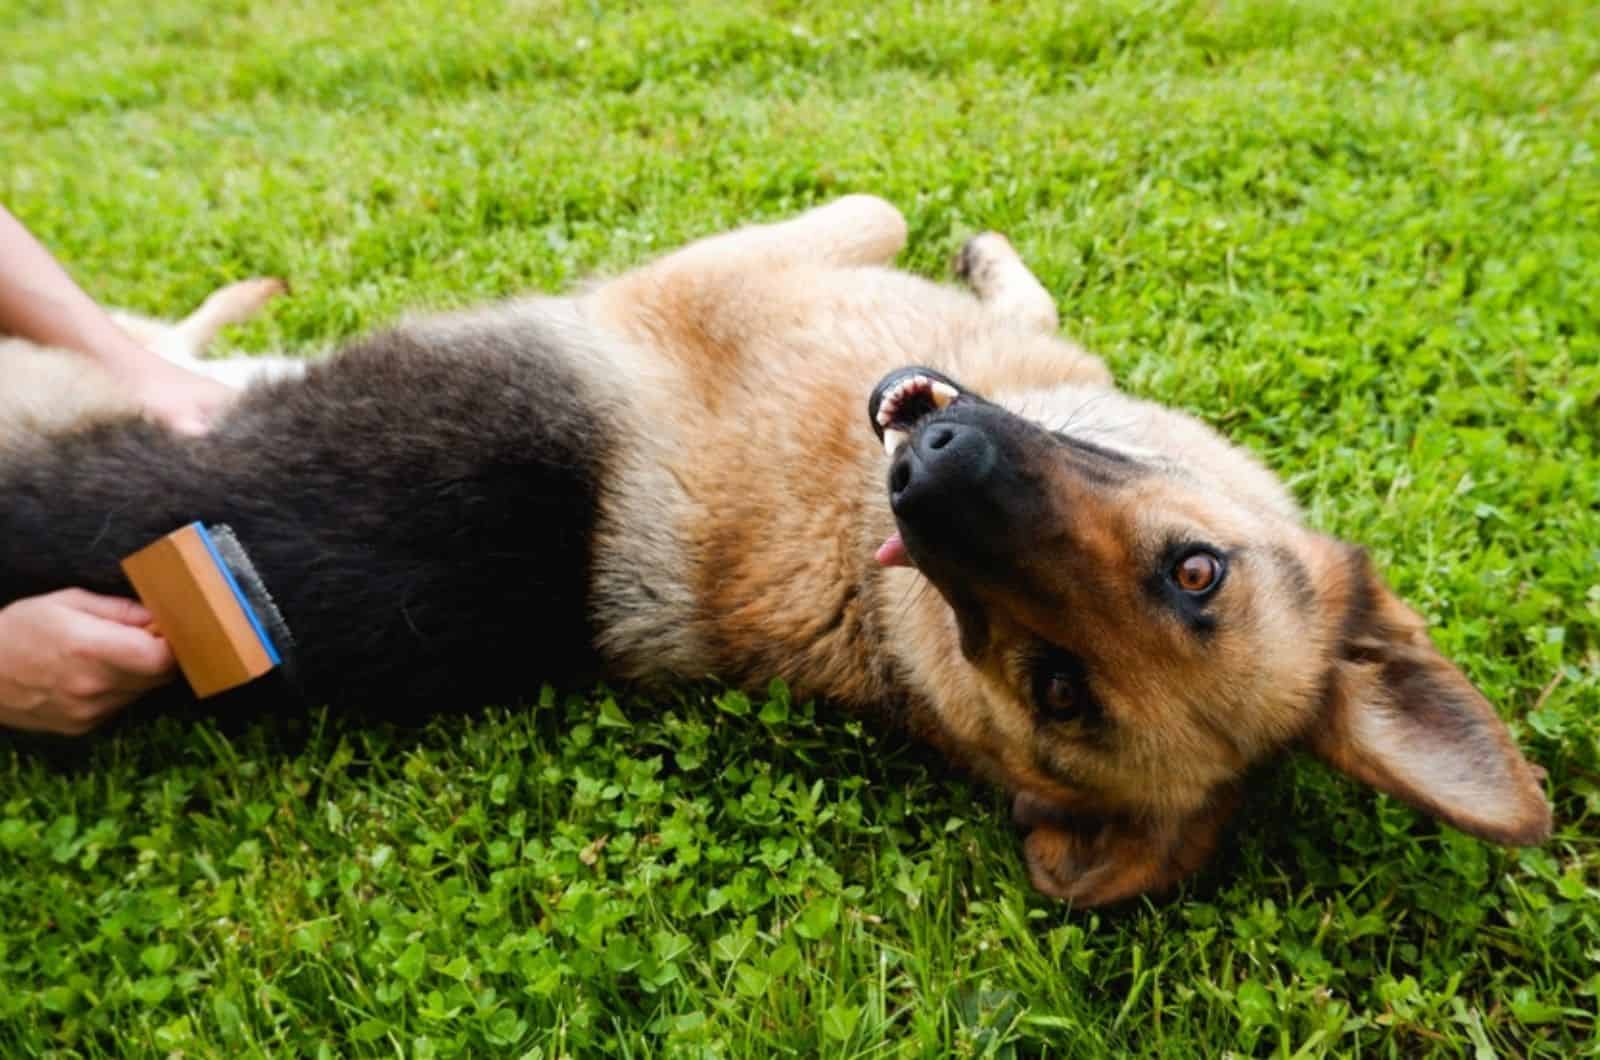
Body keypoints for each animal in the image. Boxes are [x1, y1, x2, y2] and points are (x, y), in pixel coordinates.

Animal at [0, 196, 1548, 903]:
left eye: (1056, 687)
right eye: (1196, 570)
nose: (929, 469)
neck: (863, 580)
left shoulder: (717, 273)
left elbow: (875, 212)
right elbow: (960, 258)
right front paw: (1001, 271)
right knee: (163, 330)